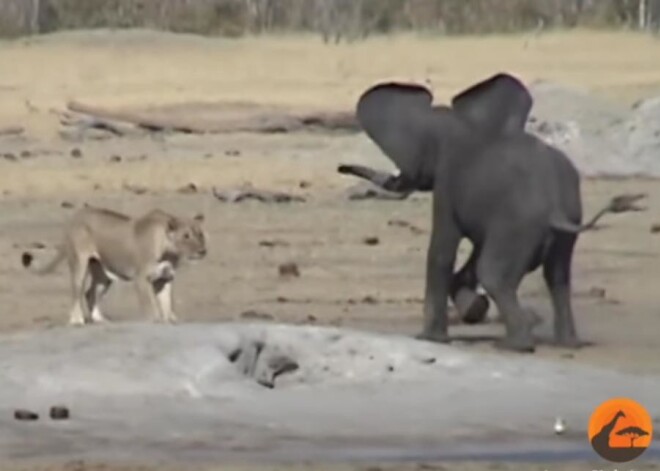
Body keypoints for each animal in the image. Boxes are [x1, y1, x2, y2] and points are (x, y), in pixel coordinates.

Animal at [338, 74, 648, 352]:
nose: (341, 168)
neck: (455, 121)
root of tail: (554, 208)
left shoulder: (448, 182)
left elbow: (442, 252)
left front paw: (429, 339)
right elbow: (472, 254)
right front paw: (474, 308)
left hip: (519, 223)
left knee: (493, 273)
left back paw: (515, 345)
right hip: (564, 222)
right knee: (557, 276)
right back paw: (567, 343)